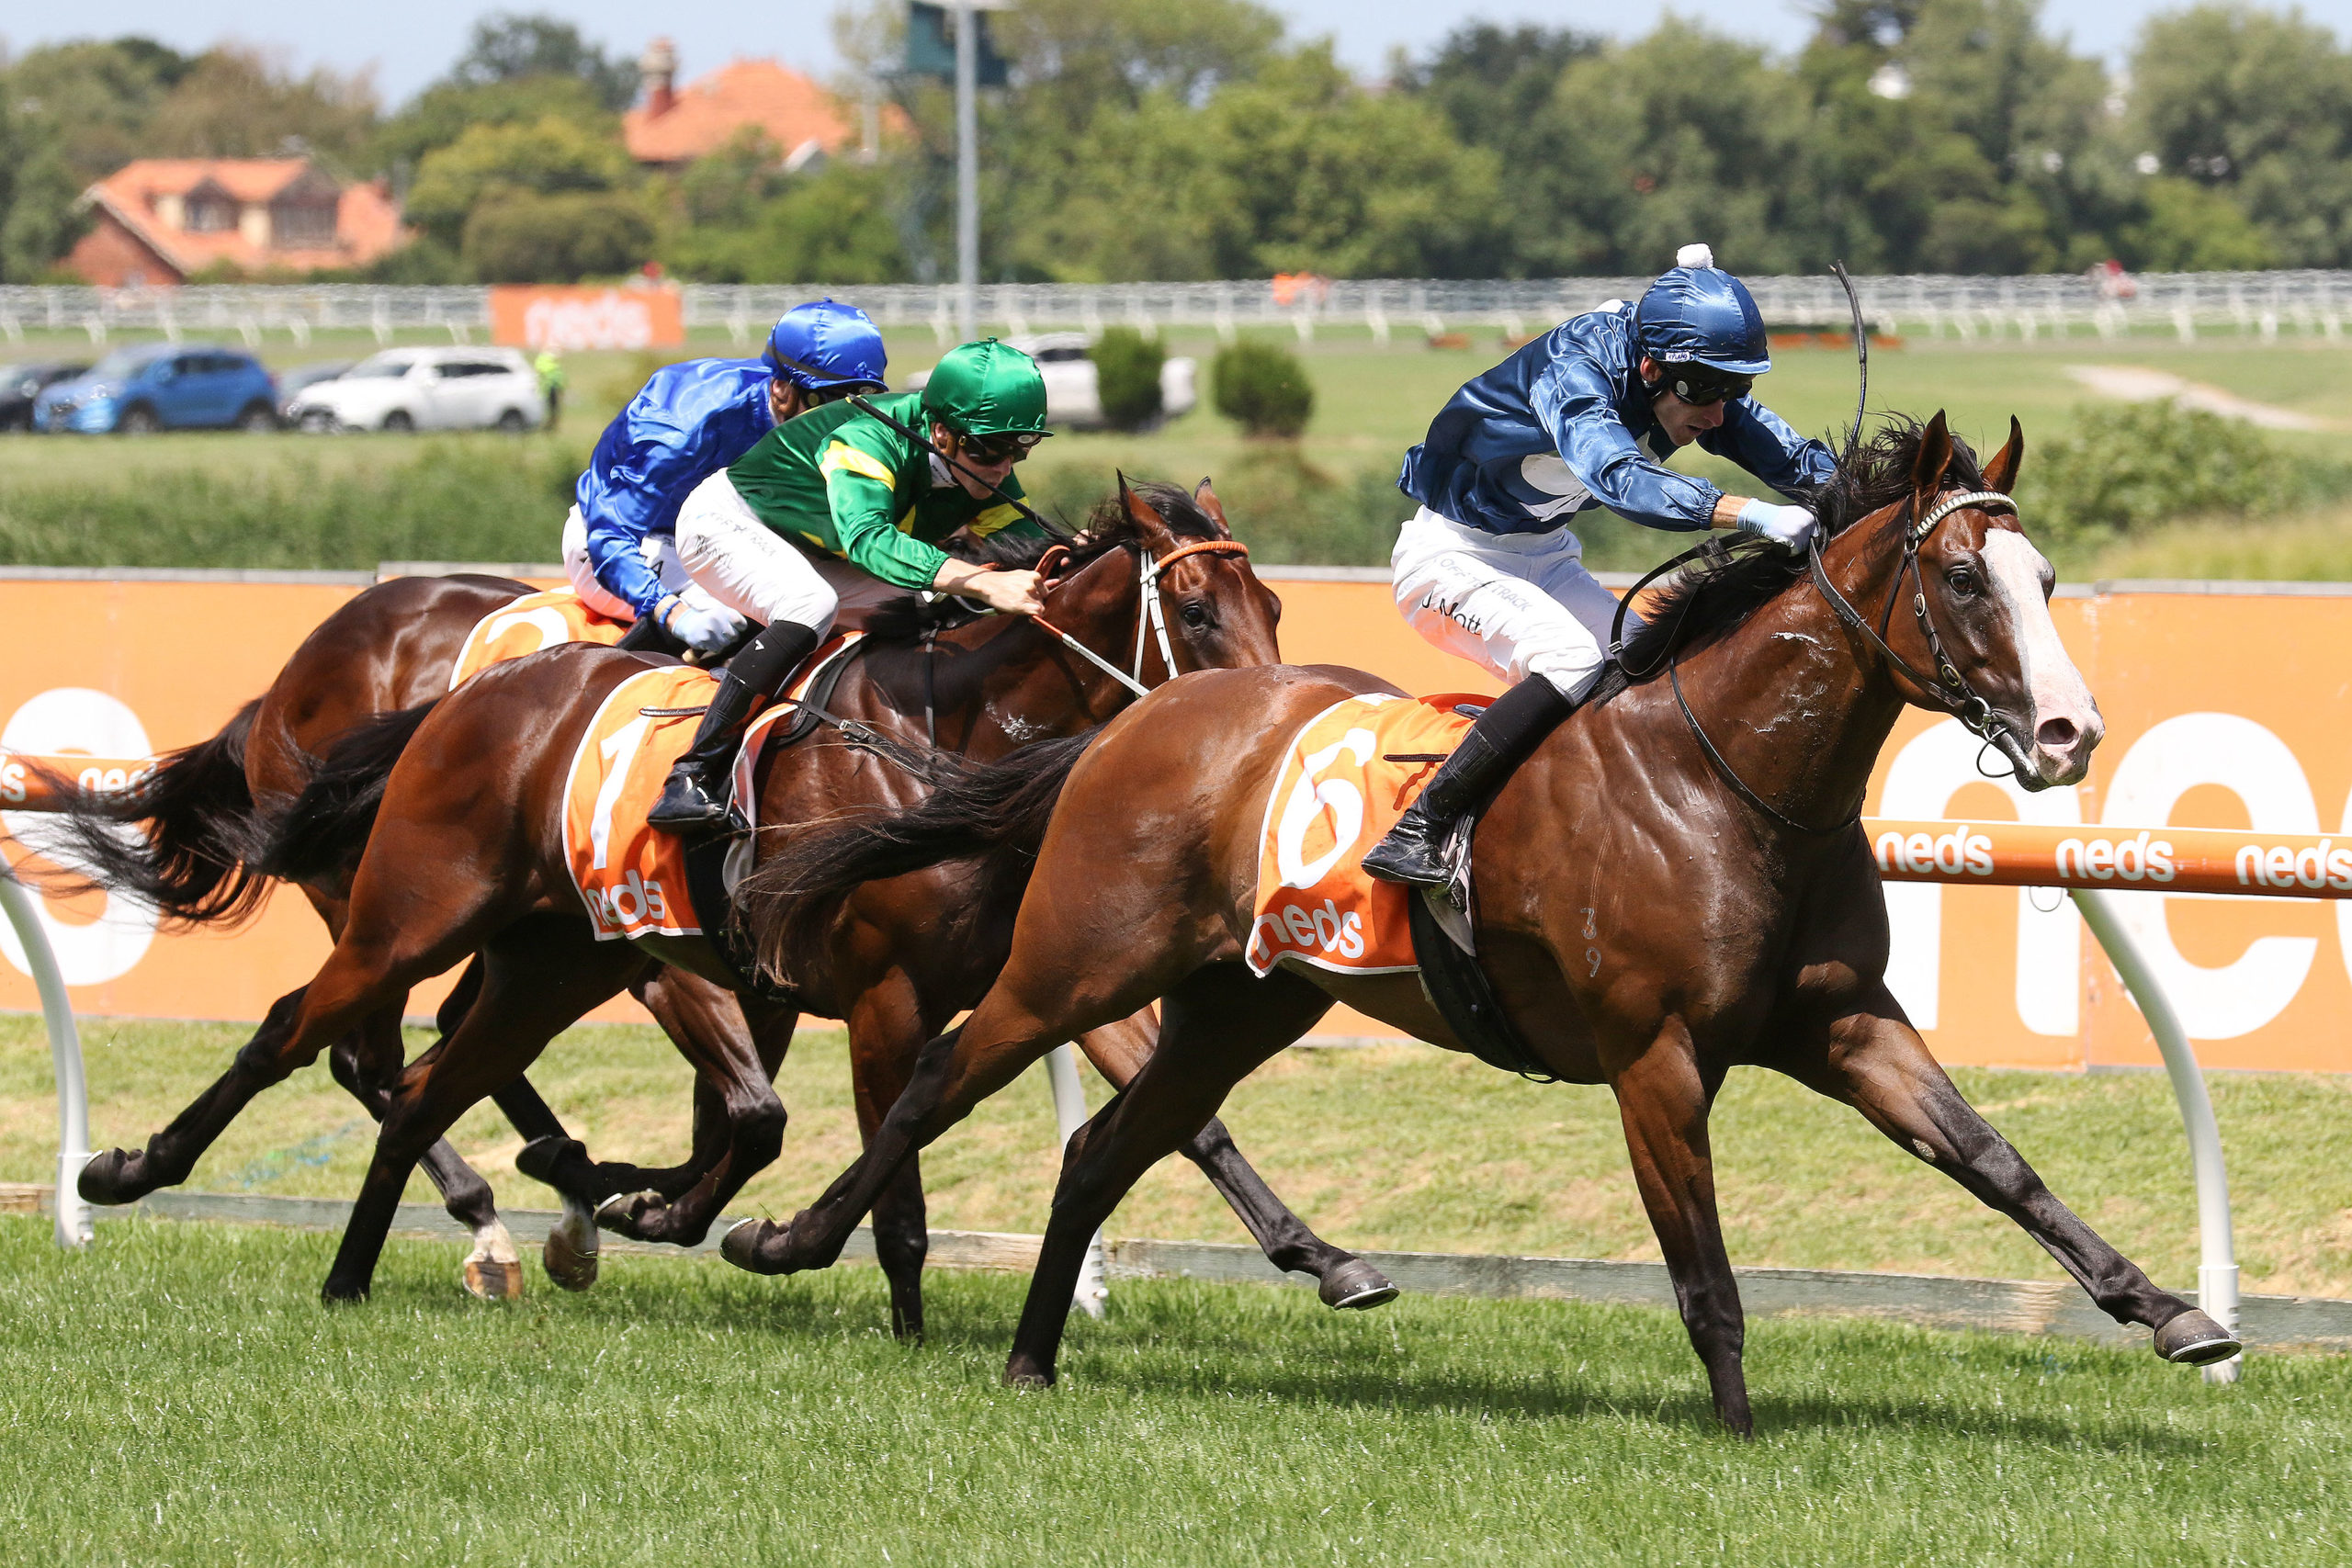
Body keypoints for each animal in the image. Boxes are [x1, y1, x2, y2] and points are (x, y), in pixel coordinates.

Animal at [74, 480, 1394, 1328]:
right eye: (1203, 611)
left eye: (1276, 603)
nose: (1275, 723)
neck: (947, 738)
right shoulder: (831, 982)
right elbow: (836, 1150)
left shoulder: (1037, 971)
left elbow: (1190, 1120)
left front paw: (1328, 1259)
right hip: (405, 911)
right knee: (319, 1033)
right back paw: (135, 1170)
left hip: (538, 952)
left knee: (425, 1065)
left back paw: (468, 1226)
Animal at [719, 415, 2241, 1433]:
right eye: (1970, 580)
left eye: (2050, 579)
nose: (2068, 730)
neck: (1727, 774)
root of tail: (1138, 716)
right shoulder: (1653, 1054)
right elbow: (1703, 1266)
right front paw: (1741, 1432)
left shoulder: (1843, 1019)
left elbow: (1999, 1162)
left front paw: (2177, 1314)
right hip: (1079, 959)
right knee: (933, 1081)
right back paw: (783, 1241)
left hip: (1244, 999)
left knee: (1103, 1147)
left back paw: (1035, 1356)